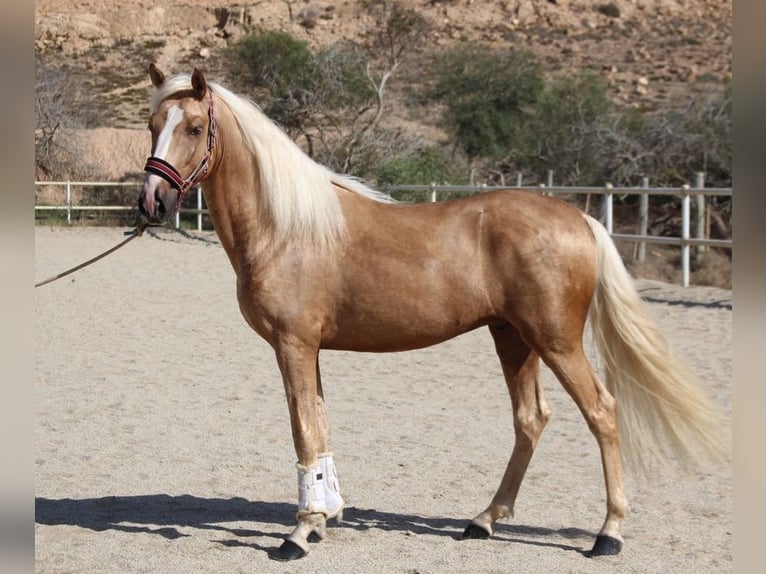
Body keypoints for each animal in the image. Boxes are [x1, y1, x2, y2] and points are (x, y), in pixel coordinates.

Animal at [138, 66, 732, 564]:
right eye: (152, 125)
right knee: (530, 420)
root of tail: (580, 218)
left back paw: (608, 534)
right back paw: (485, 521)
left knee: (602, 413)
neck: (288, 227)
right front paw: (324, 517)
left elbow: (303, 430)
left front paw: (300, 532)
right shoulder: (310, 350)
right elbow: (320, 425)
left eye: (194, 127)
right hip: (513, 338)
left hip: (555, 340)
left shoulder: (293, 344)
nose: (152, 202)